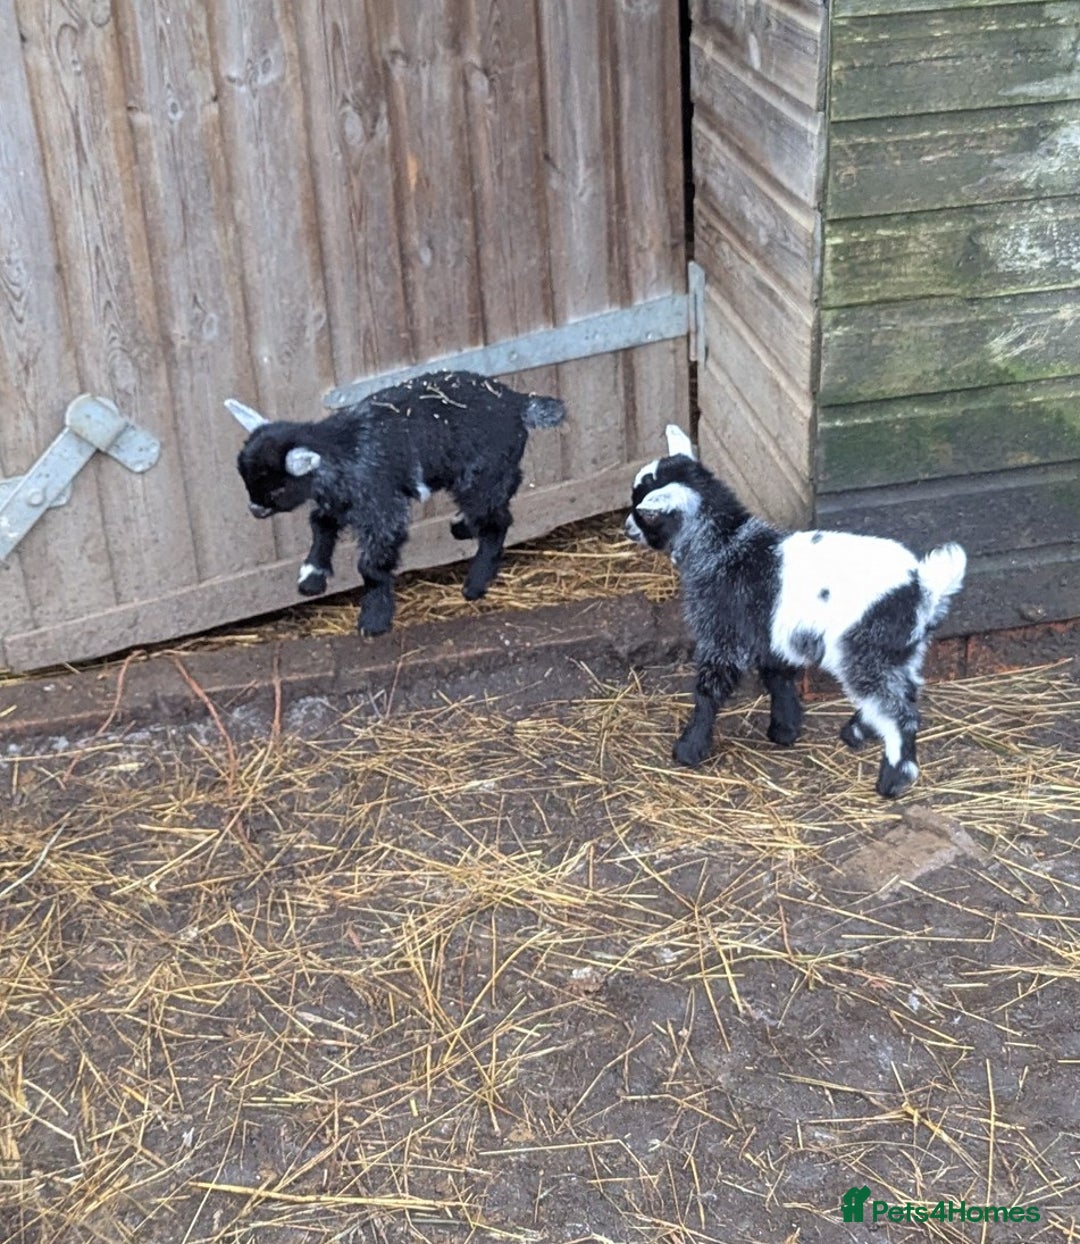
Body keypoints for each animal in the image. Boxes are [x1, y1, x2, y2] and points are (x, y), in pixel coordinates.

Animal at [225, 371, 565, 636]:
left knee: (497, 520)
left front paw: (374, 619)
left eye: (278, 489)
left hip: (480, 474)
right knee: (507, 489)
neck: (343, 448)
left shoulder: (381, 507)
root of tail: (518, 402)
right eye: (246, 481)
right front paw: (311, 577)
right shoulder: (336, 502)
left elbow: (371, 565)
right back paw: (462, 525)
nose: (255, 510)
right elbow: (321, 526)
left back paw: (475, 583)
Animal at [625, 425, 967, 798]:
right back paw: (856, 732)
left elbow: (709, 690)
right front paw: (785, 730)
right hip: (900, 651)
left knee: (897, 711)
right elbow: (778, 677)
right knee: (905, 689)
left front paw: (689, 748)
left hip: (864, 650)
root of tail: (923, 586)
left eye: (643, 511)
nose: (627, 526)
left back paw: (893, 778)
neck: (723, 545)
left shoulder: (723, 634)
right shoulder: (769, 633)